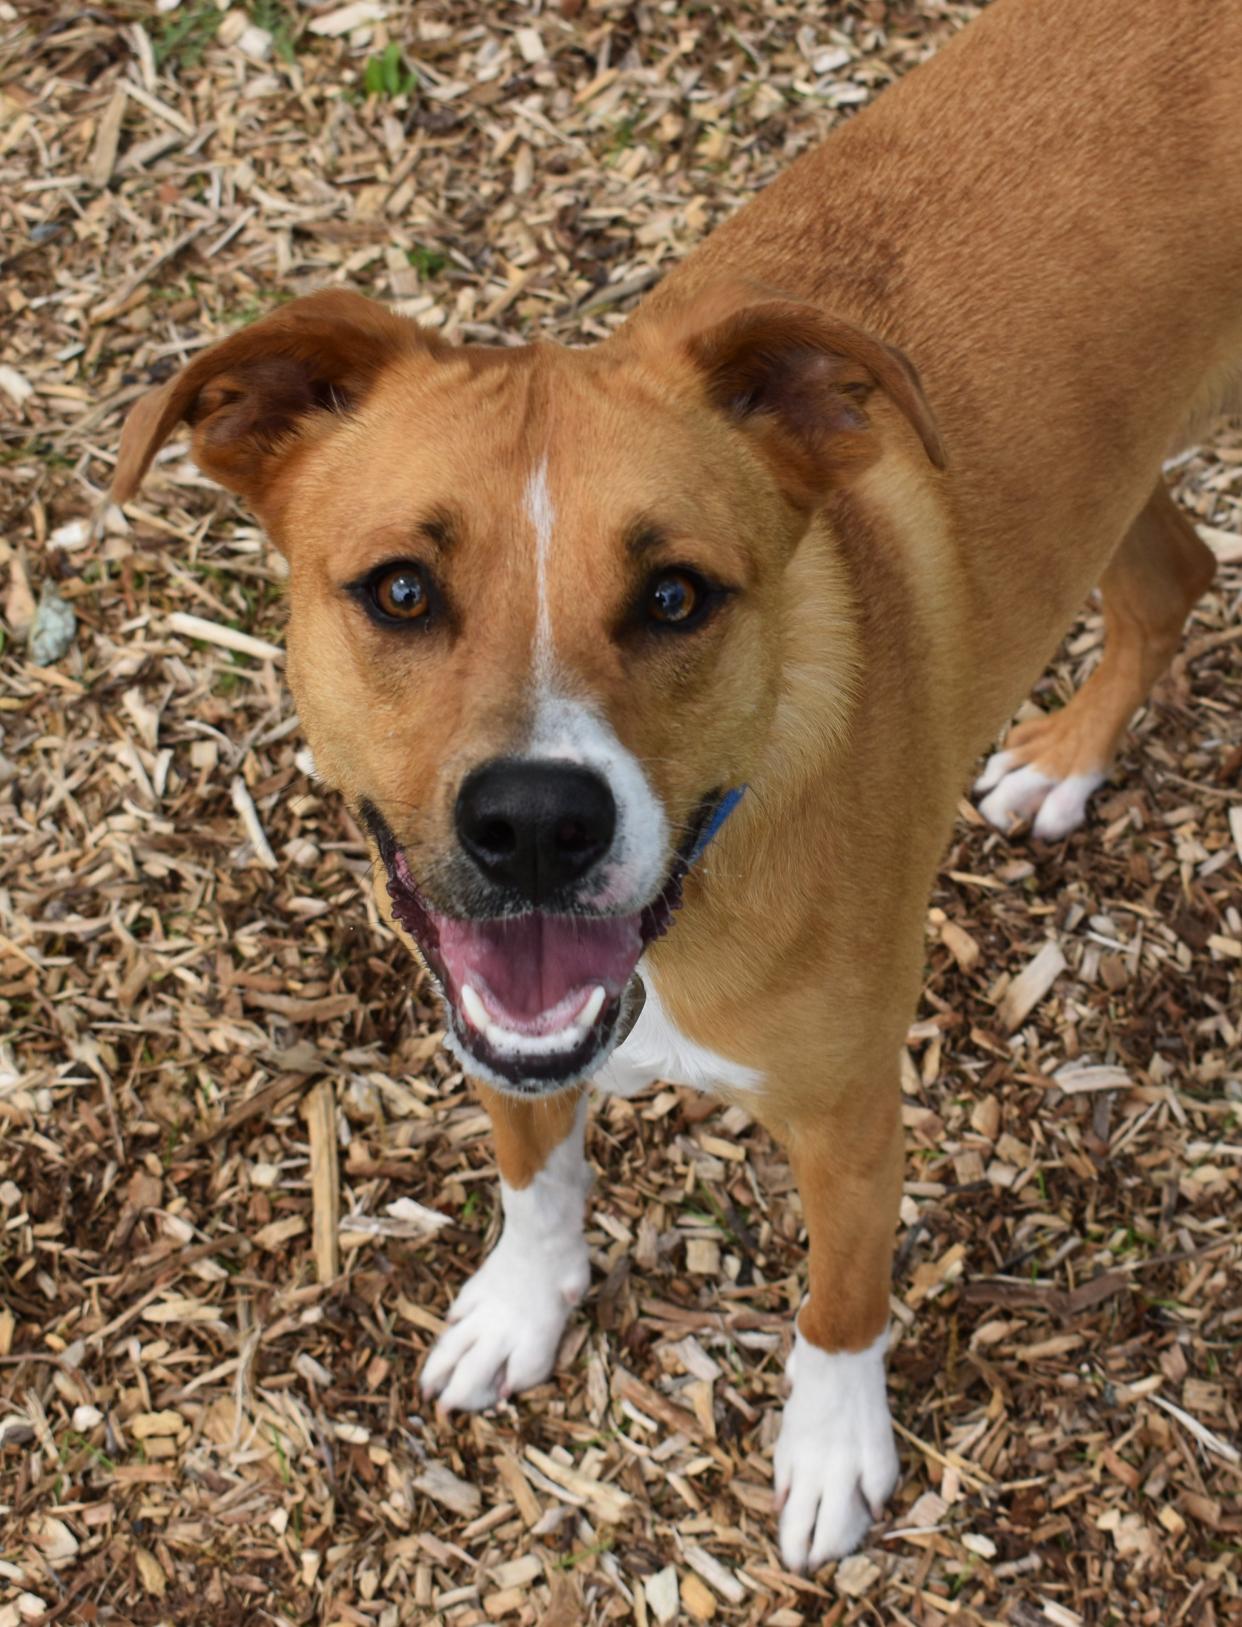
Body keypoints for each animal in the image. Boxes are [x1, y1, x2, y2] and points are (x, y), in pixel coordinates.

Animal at [109, 0, 1242, 1574]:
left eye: (674, 595)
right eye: (399, 589)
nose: (533, 823)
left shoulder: (849, 1113)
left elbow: (840, 1299)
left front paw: (830, 1450)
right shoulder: (495, 1021)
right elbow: (536, 1176)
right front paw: (521, 1305)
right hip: (1116, 467)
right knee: (1170, 574)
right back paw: (1061, 760)